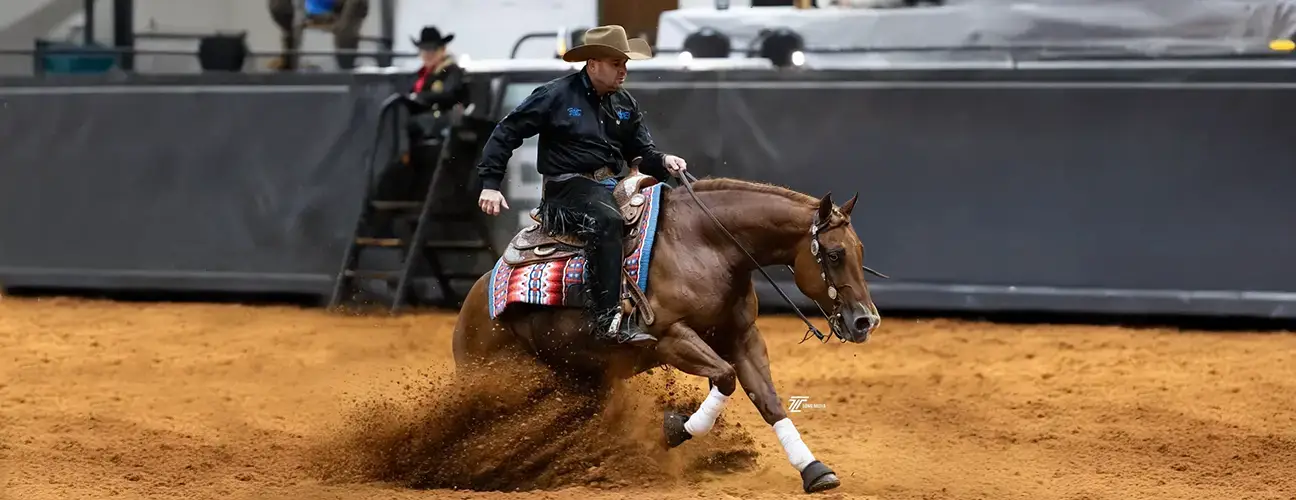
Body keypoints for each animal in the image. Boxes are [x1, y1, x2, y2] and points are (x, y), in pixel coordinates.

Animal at [452, 171, 883, 494]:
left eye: (861, 250)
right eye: (834, 255)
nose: (865, 321)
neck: (706, 244)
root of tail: (471, 306)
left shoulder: (742, 336)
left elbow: (769, 401)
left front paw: (814, 470)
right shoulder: (670, 338)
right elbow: (725, 377)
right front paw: (675, 429)